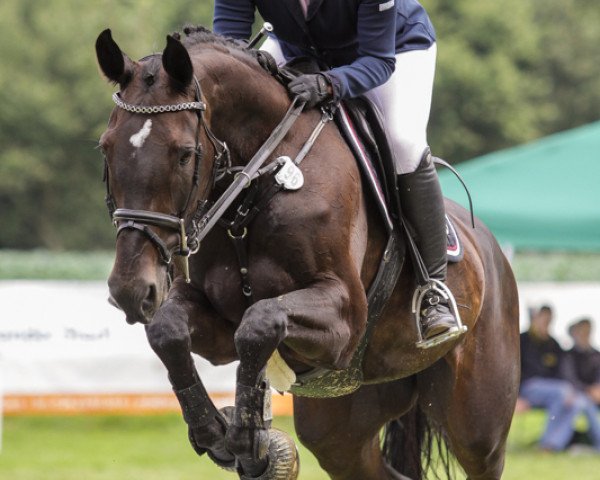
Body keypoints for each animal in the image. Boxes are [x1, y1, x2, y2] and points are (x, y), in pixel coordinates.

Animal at [95, 27, 520, 480]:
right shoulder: (218, 326)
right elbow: (169, 329)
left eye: (184, 154)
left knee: (480, 452)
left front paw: (247, 438)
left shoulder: (345, 317)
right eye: (105, 148)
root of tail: (490, 249)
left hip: (477, 422)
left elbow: (260, 322)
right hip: (343, 423)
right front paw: (216, 432)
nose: (130, 290)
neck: (255, 190)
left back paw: (436, 312)